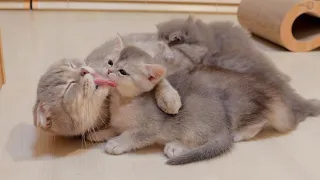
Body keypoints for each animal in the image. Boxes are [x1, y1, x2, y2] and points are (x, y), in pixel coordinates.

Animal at [98, 44, 320, 165]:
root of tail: (225, 127)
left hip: (196, 119)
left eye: (123, 72)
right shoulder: (118, 122)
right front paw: (100, 133)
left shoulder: (149, 127)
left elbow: (133, 135)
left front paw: (117, 143)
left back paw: (177, 146)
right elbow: (113, 127)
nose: (109, 70)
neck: (122, 103)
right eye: (111, 62)